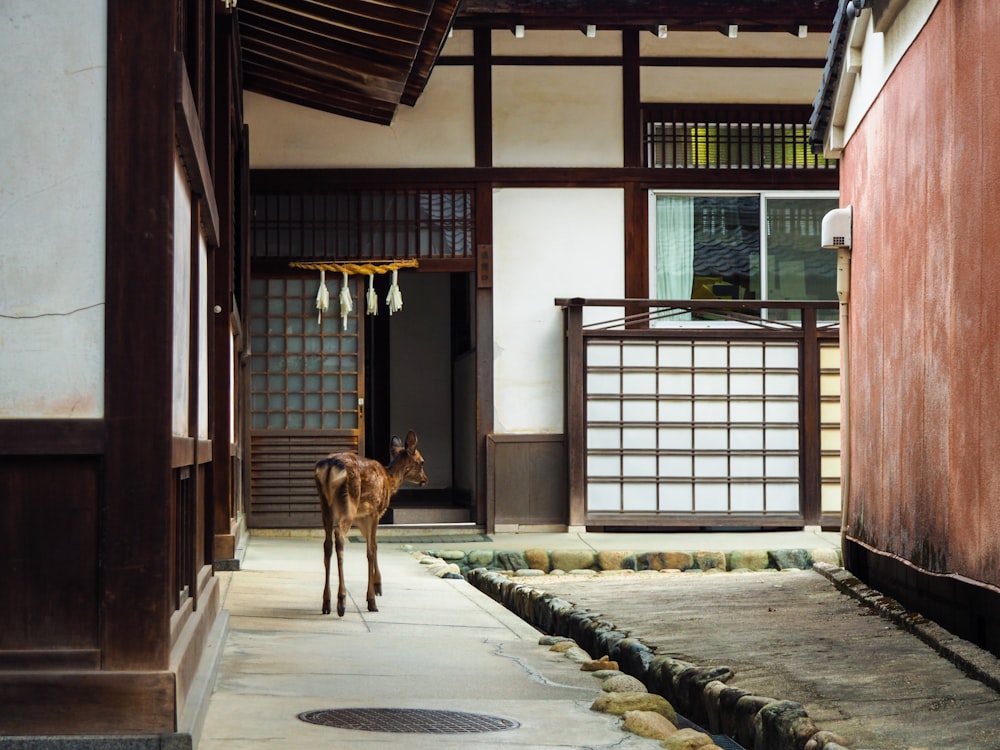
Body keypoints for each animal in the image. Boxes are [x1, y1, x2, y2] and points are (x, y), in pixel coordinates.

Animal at [314, 428, 428, 616]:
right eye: (422, 461)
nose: (425, 479)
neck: (390, 480)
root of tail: (330, 467)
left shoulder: (362, 518)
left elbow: (372, 544)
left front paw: (378, 585)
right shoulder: (374, 512)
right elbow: (372, 549)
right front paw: (372, 598)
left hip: (325, 505)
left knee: (327, 544)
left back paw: (326, 602)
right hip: (349, 503)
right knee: (339, 537)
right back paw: (341, 601)